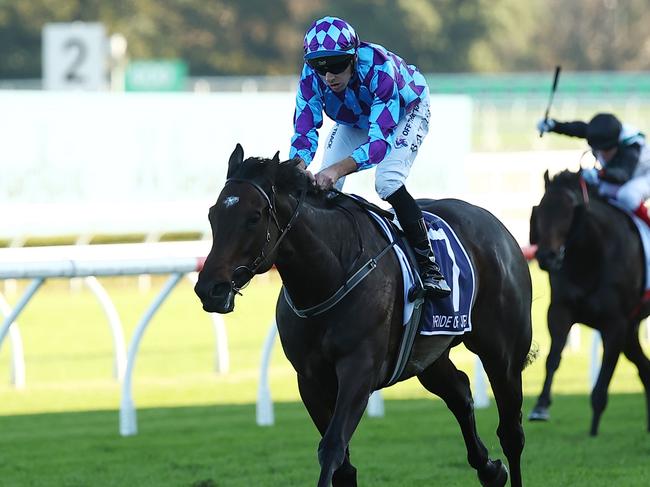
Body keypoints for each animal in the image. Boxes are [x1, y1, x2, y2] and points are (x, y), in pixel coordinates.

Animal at [195, 146, 536, 487]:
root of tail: (497, 227)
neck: (328, 276)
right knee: (460, 392)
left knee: (511, 432)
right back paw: (491, 470)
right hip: (428, 355)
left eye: (254, 217)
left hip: (502, 353)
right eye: (212, 214)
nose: (209, 289)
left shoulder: (359, 369)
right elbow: (343, 465)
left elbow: (332, 446)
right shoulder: (310, 380)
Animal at [528, 170, 648, 436]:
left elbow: (604, 376)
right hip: (632, 330)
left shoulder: (615, 324)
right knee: (644, 366)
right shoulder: (560, 310)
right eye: (540, 210)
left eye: (568, 212)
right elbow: (553, 357)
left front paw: (593, 430)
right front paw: (540, 407)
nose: (546, 257)